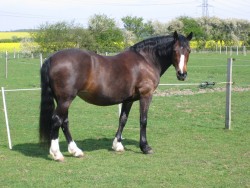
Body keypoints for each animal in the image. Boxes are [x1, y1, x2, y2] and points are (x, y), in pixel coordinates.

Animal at [39, 31, 192, 162]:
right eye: (175, 51)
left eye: (189, 50)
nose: (182, 74)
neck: (146, 60)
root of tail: (51, 58)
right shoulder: (146, 95)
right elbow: (143, 120)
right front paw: (145, 147)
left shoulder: (128, 100)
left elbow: (123, 119)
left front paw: (117, 145)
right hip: (65, 100)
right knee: (57, 120)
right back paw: (57, 154)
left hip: (62, 100)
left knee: (64, 121)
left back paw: (75, 151)